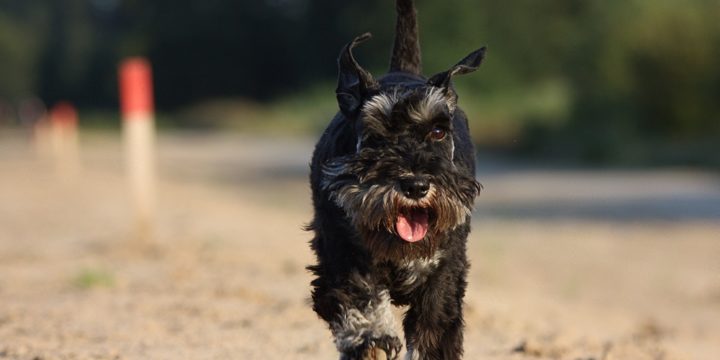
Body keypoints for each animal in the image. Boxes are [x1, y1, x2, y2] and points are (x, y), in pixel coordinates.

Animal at [306, 1, 486, 358]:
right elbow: (360, 299)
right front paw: (373, 338)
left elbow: (434, 328)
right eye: (376, 135)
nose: (416, 185)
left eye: (438, 130)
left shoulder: (445, 269)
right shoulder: (342, 254)